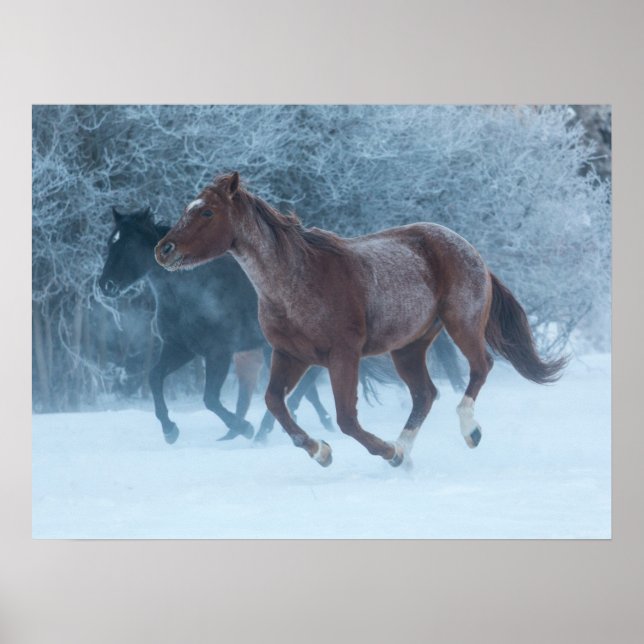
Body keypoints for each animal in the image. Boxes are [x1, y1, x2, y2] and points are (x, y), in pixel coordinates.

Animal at [98, 206, 333, 444]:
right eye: (110, 242)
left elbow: (210, 398)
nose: (105, 285)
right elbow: (154, 377)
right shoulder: (180, 349)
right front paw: (169, 429)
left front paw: (243, 427)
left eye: (129, 244)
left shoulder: (218, 353)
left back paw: (269, 431)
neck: (188, 296)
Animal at [155, 173, 567, 467]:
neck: (295, 282)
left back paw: (467, 432)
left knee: (481, 367)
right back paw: (404, 450)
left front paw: (378, 451)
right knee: (425, 394)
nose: (164, 249)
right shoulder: (290, 356)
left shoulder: (343, 355)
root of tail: (468, 248)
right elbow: (274, 402)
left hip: (461, 323)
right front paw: (320, 451)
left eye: (207, 212)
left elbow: (346, 419)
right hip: (409, 347)